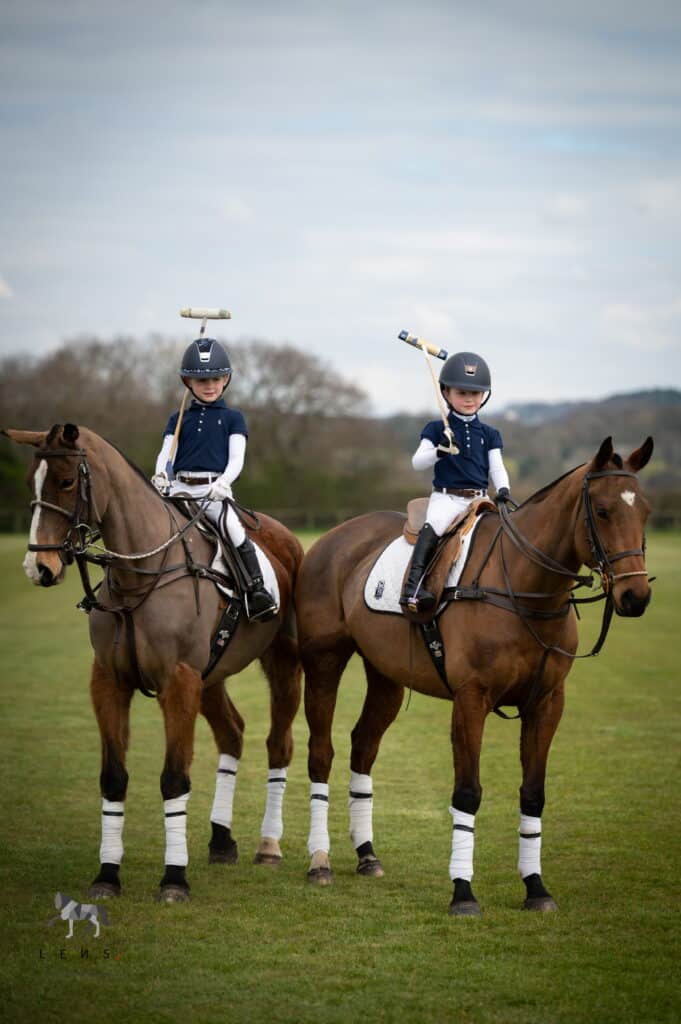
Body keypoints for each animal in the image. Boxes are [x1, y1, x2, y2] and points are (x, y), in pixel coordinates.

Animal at [4, 423, 303, 902]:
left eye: (66, 482)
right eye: (32, 480)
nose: (39, 567)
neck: (137, 578)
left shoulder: (178, 682)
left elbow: (174, 778)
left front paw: (174, 878)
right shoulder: (109, 681)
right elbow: (113, 777)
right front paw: (107, 875)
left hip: (283, 662)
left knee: (279, 743)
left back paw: (268, 845)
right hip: (212, 675)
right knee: (232, 733)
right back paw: (221, 840)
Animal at [295, 437, 653, 914]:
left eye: (645, 511)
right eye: (602, 511)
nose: (635, 596)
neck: (525, 586)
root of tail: (330, 538)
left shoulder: (547, 703)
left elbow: (533, 793)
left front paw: (536, 887)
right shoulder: (471, 699)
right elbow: (467, 793)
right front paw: (463, 892)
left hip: (386, 675)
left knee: (363, 746)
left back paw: (367, 854)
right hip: (324, 662)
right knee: (321, 752)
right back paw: (320, 862)